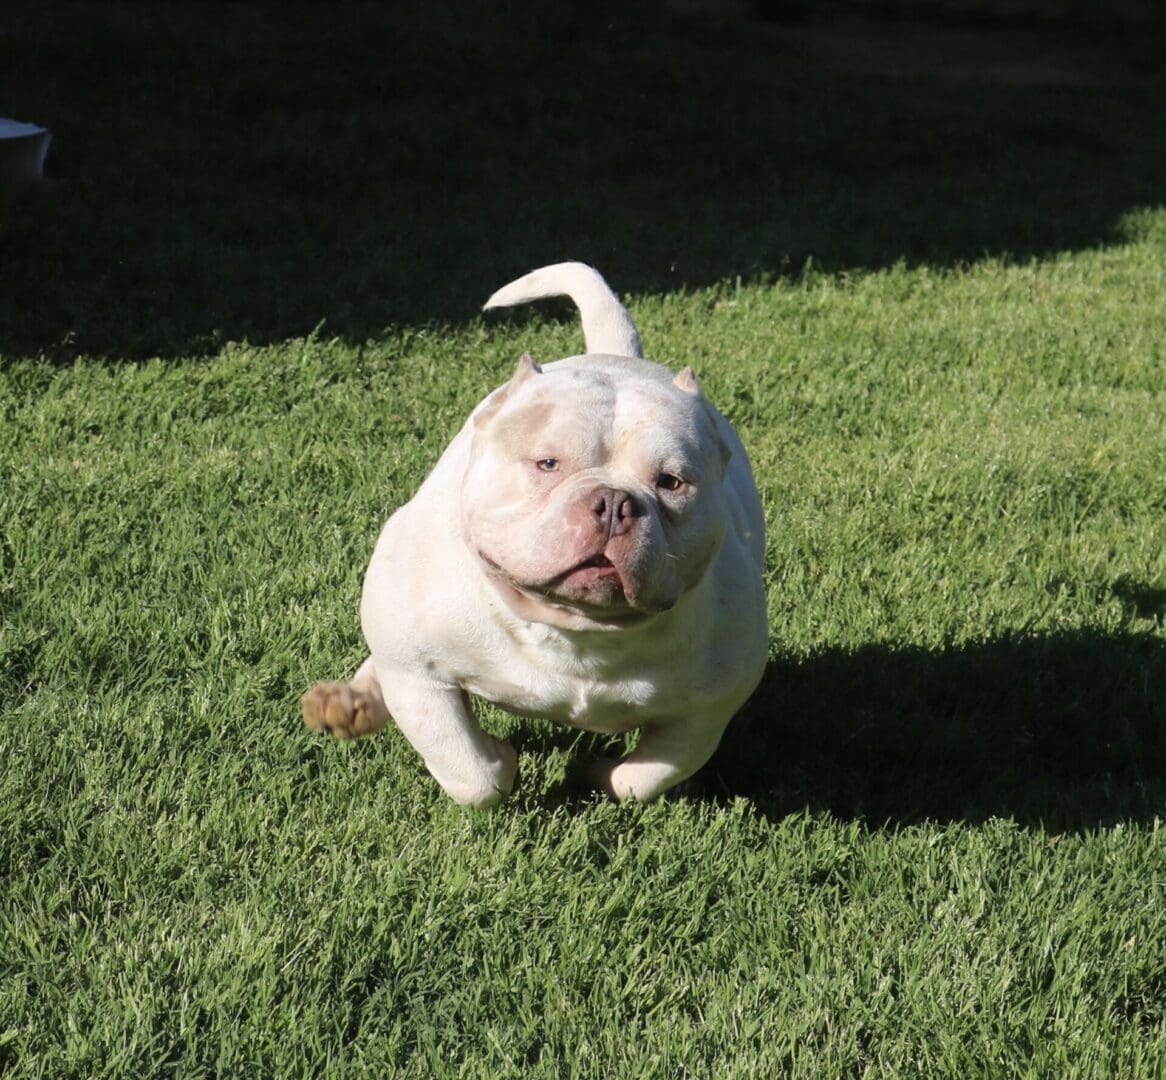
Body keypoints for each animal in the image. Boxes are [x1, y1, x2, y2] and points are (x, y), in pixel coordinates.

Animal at [305, 260, 769, 802]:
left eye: (672, 482)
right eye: (547, 463)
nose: (614, 503)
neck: (575, 632)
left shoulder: (704, 713)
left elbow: (647, 776)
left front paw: (601, 777)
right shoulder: (417, 675)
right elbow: (468, 770)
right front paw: (500, 762)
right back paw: (351, 702)